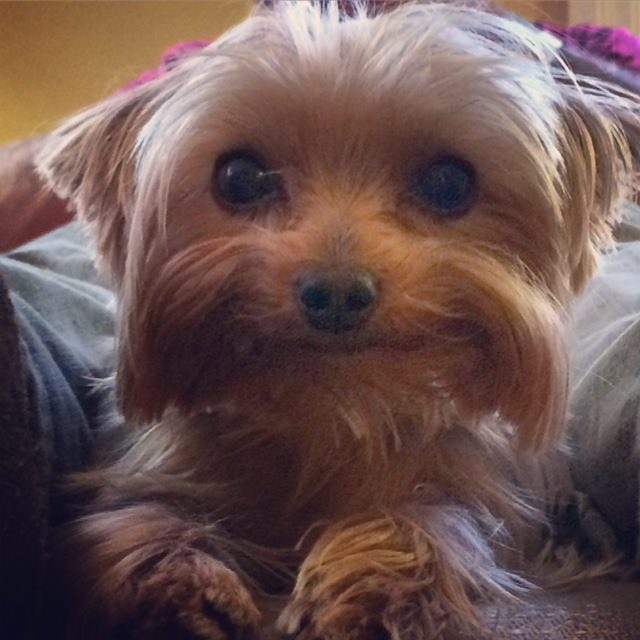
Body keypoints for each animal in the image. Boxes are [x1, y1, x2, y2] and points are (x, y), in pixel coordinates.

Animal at [36, 1, 640, 640]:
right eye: (239, 177)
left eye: (448, 182)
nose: (337, 293)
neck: (332, 410)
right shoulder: (149, 465)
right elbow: (134, 513)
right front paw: (174, 587)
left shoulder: (483, 490)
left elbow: (434, 516)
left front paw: (375, 588)